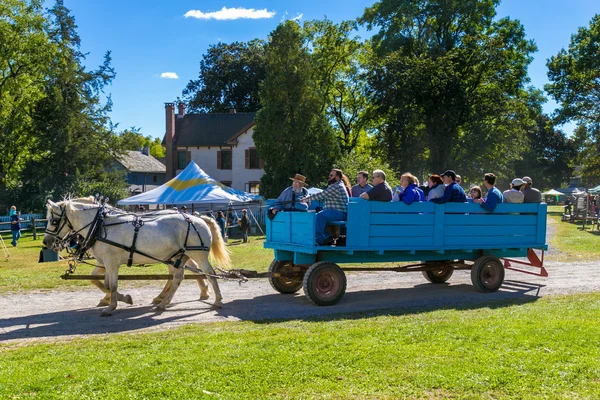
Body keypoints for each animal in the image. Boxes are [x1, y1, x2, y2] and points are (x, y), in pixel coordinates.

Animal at [43, 197, 231, 316]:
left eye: (53, 221)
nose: (46, 242)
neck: (100, 225)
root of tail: (198, 218)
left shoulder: (111, 263)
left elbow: (112, 285)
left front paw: (111, 306)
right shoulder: (105, 263)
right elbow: (103, 282)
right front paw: (121, 299)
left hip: (198, 255)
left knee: (210, 274)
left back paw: (217, 300)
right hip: (178, 257)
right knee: (178, 277)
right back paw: (164, 302)